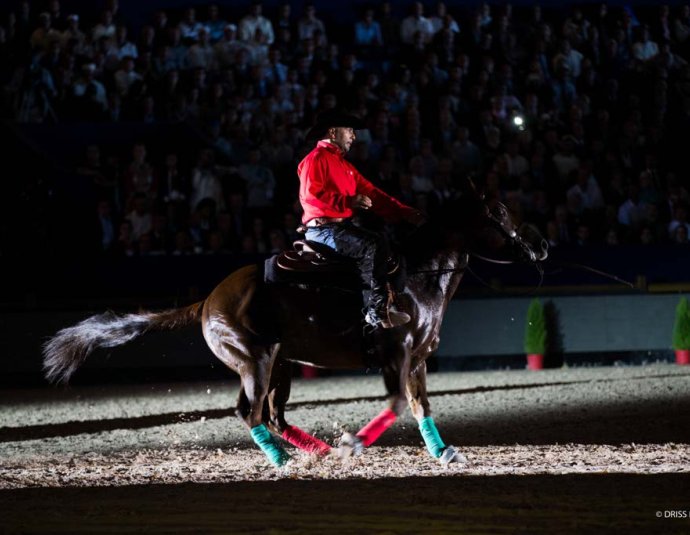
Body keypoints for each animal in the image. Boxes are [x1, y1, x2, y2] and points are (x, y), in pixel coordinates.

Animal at [43, 183, 548, 467]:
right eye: (499, 213)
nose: (540, 243)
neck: (417, 275)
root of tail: (209, 300)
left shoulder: (419, 358)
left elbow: (420, 406)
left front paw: (443, 452)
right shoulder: (397, 354)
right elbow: (396, 404)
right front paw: (352, 444)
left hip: (280, 364)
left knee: (274, 416)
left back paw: (313, 451)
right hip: (256, 360)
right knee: (251, 413)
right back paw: (285, 459)